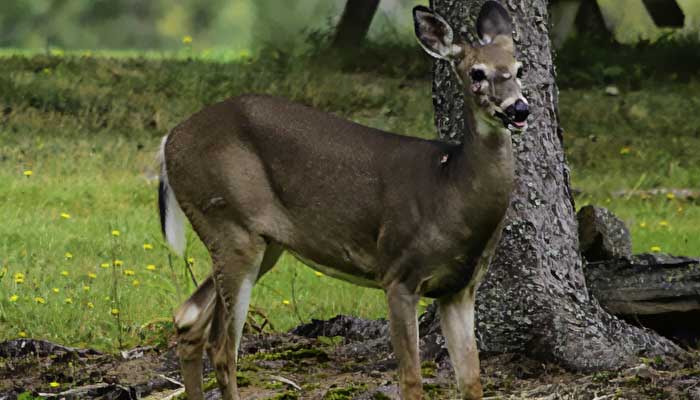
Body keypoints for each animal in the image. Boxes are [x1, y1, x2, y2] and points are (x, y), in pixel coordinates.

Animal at [157, 2, 528, 399]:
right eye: (477, 72)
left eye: (519, 68)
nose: (519, 109)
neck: (449, 190)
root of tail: (168, 142)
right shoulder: (398, 271)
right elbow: (411, 379)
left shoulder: (461, 288)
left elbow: (472, 380)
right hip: (230, 224)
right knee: (223, 348)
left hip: (262, 242)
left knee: (188, 317)